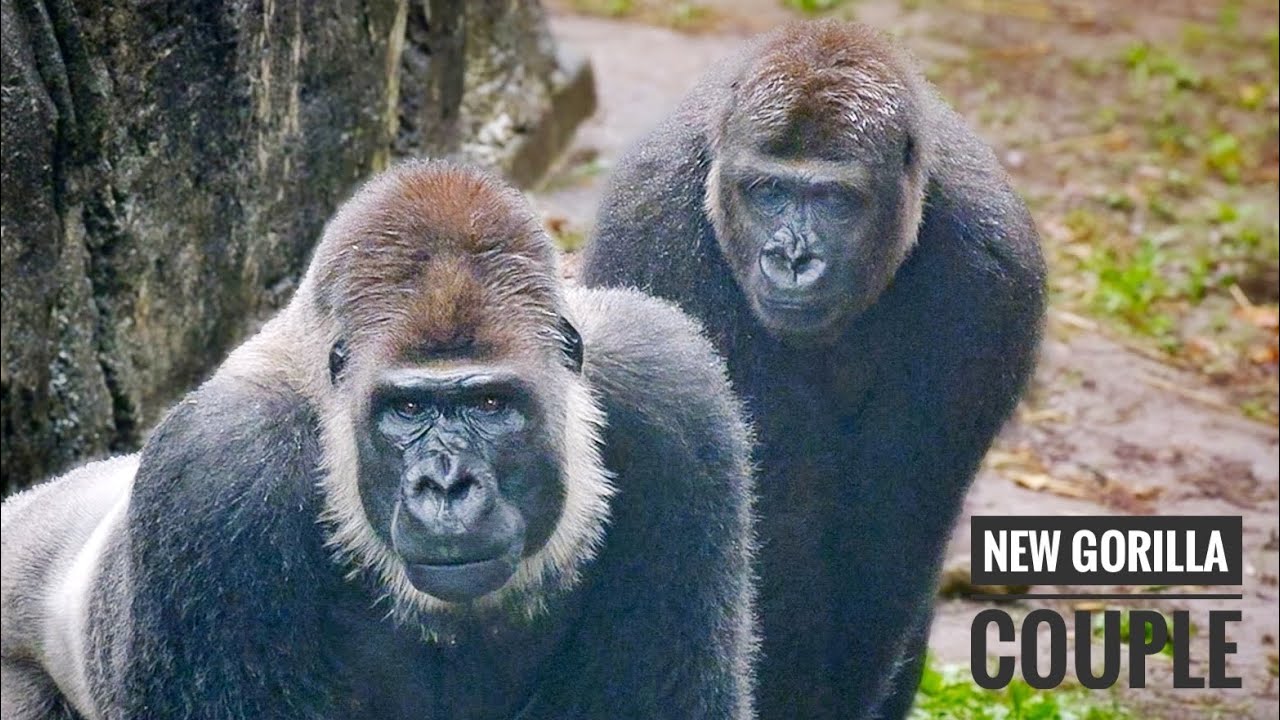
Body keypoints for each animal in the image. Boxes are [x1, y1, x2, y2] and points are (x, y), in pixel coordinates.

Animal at [581, 20, 1046, 720]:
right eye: (769, 192)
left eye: (834, 200)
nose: (793, 258)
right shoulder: (652, 225)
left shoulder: (993, 274)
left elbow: (893, 527)